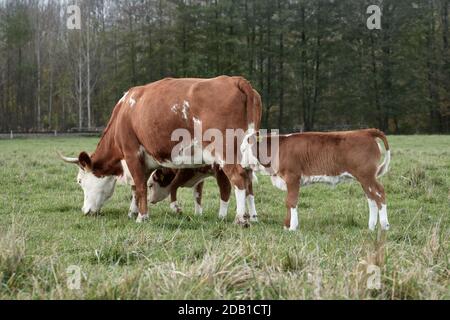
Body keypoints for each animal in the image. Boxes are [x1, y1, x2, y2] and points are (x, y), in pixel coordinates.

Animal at [57, 76, 260, 226]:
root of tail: (235, 80)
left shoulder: (132, 154)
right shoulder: (146, 160)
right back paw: (252, 216)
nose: (85, 211)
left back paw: (240, 219)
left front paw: (142, 217)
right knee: (248, 181)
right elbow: (137, 189)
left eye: (80, 181)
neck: (124, 112)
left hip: (226, 153)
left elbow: (139, 186)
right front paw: (134, 212)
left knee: (238, 179)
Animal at [241, 129, 392, 231]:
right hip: (364, 179)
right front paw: (286, 225)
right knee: (371, 199)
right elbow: (288, 202)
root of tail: (366, 132)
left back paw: (384, 225)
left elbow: (291, 201)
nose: (241, 164)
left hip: (367, 176)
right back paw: (371, 227)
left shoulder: (293, 177)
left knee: (379, 193)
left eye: (242, 150)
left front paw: (292, 227)